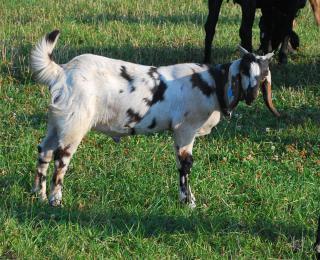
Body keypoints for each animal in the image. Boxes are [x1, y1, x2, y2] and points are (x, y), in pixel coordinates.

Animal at [30, 30, 280, 207]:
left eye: (263, 74)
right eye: (245, 71)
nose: (252, 95)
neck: (212, 83)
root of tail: (62, 72)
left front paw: (187, 199)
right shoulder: (185, 130)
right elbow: (185, 164)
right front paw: (188, 202)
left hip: (57, 122)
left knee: (44, 151)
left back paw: (38, 195)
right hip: (74, 124)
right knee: (61, 159)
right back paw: (55, 200)